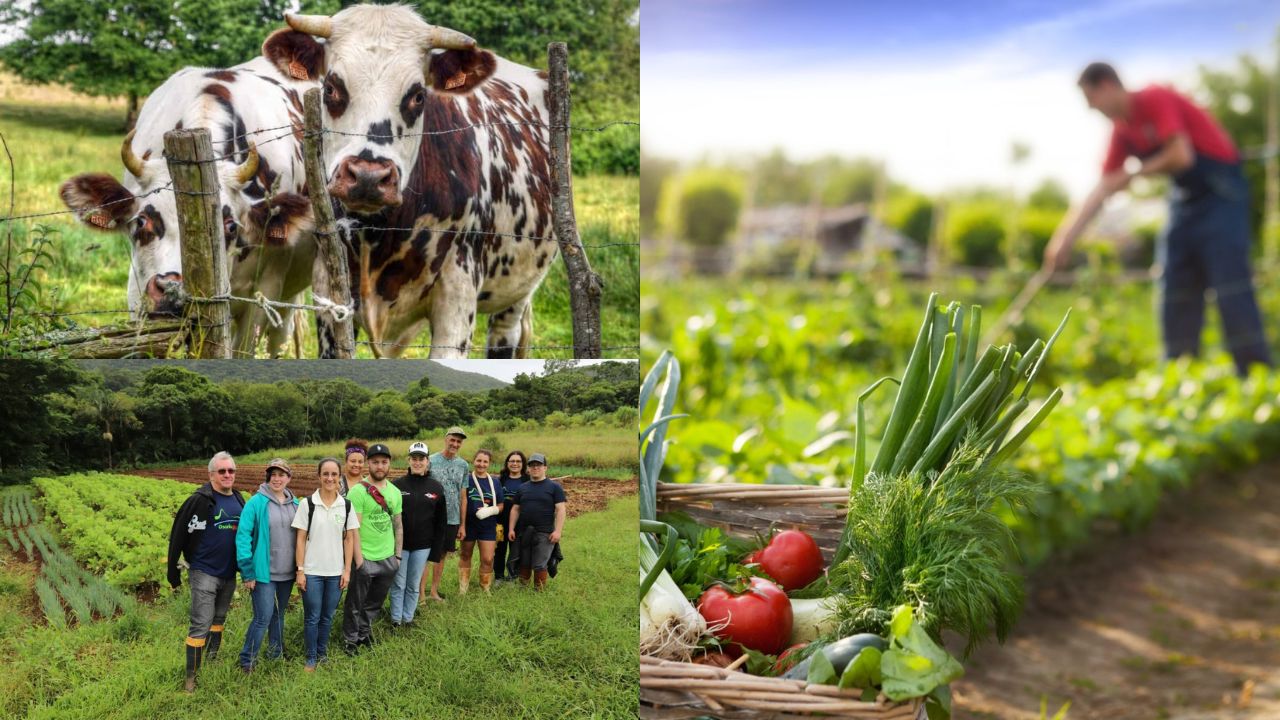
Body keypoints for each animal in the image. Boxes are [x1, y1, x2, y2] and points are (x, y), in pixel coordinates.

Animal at [264, 2, 555, 356]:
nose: (368, 177)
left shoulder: (458, 297)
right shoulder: (328, 294)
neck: (378, 233)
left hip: (517, 289)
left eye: (417, 95)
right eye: (331, 87)